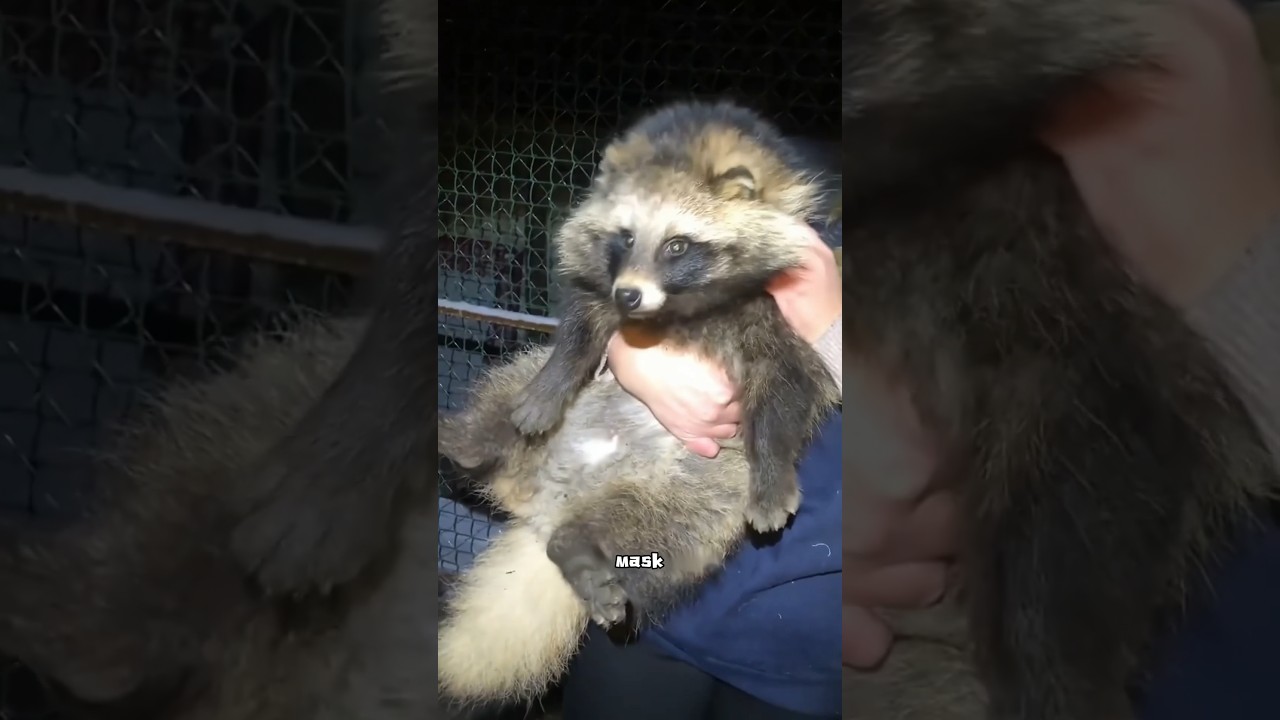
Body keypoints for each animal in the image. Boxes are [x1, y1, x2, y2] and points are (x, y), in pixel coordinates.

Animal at [435, 101, 842, 710]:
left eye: (677, 244)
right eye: (624, 237)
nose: (630, 294)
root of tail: (547, 508)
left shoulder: (781, 322)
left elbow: (785, 390)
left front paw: (772, 472)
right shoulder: (602, 288)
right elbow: (580, 328)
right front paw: (556, 380)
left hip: (696, 499)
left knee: (657, 523)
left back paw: (577, 550)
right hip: (520, 405)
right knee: (506, 390)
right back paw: (464, 437)